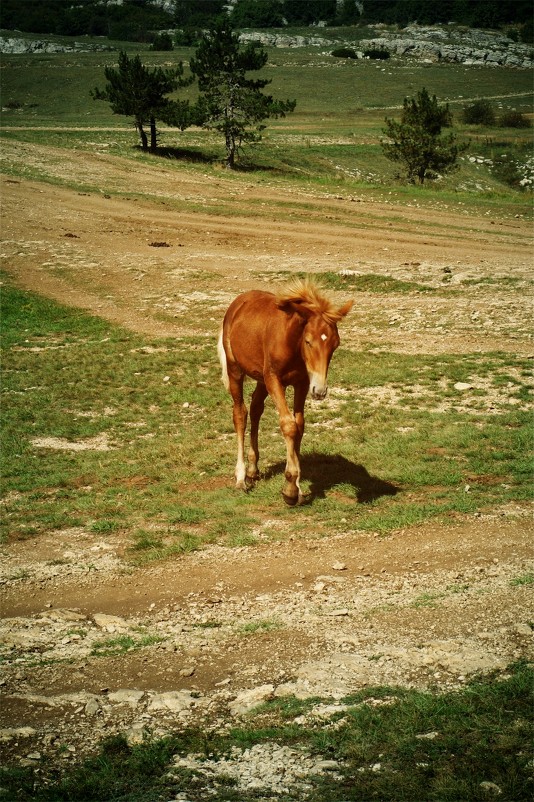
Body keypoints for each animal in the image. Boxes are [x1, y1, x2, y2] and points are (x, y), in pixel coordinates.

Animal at [216, 282, 354, 504]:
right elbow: (288, 425)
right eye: (308, 341)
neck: (291, 343)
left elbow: (299, 425)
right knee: (240, 414)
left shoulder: (302, 383)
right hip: (235, 370)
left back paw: (253, 470)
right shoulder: (274, 380)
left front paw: (296, 487)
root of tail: (238, 303)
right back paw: (241, 478)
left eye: (336, 344)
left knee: (256, 408)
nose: (320, 390)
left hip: (261, 379)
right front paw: (289, 488)